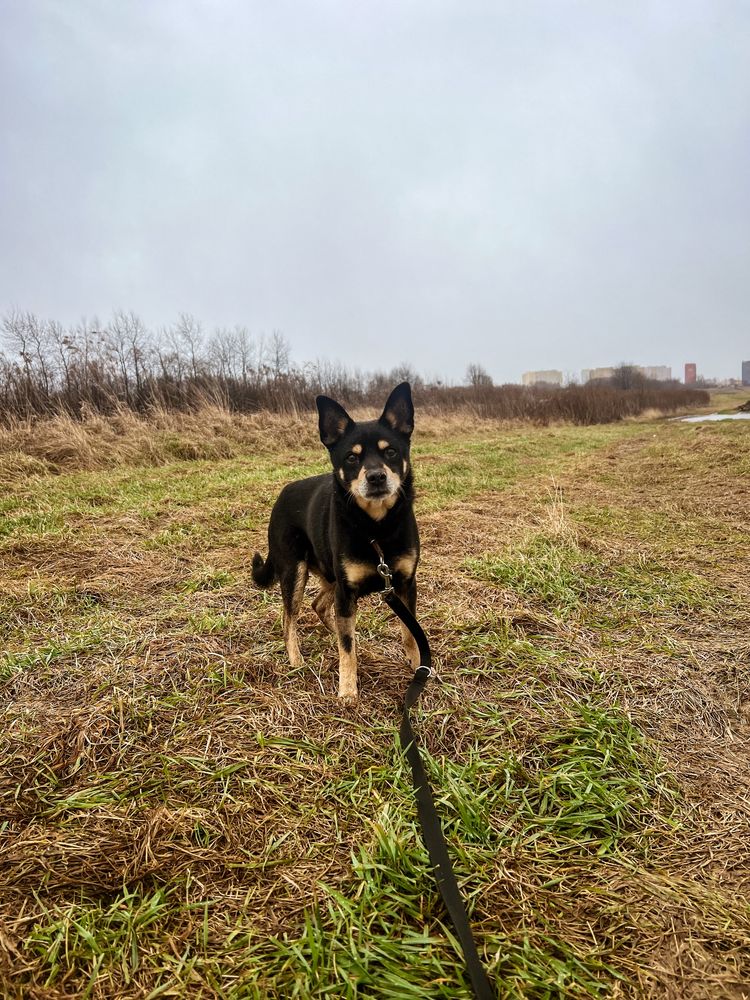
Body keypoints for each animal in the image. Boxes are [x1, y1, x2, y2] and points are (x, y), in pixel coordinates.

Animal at [251, 382, 418, 704]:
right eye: (352, 458)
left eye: (391, 451)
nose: (376, 477)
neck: (376, 527)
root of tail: (282, 495)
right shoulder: (347, 589)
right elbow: (347, 648)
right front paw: (348, 691)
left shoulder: (405, 583)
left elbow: (409, 633)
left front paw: (419, 669)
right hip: (296, 571)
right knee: (290, 618)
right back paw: (295, 658)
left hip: (330, 576)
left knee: (320, 607)